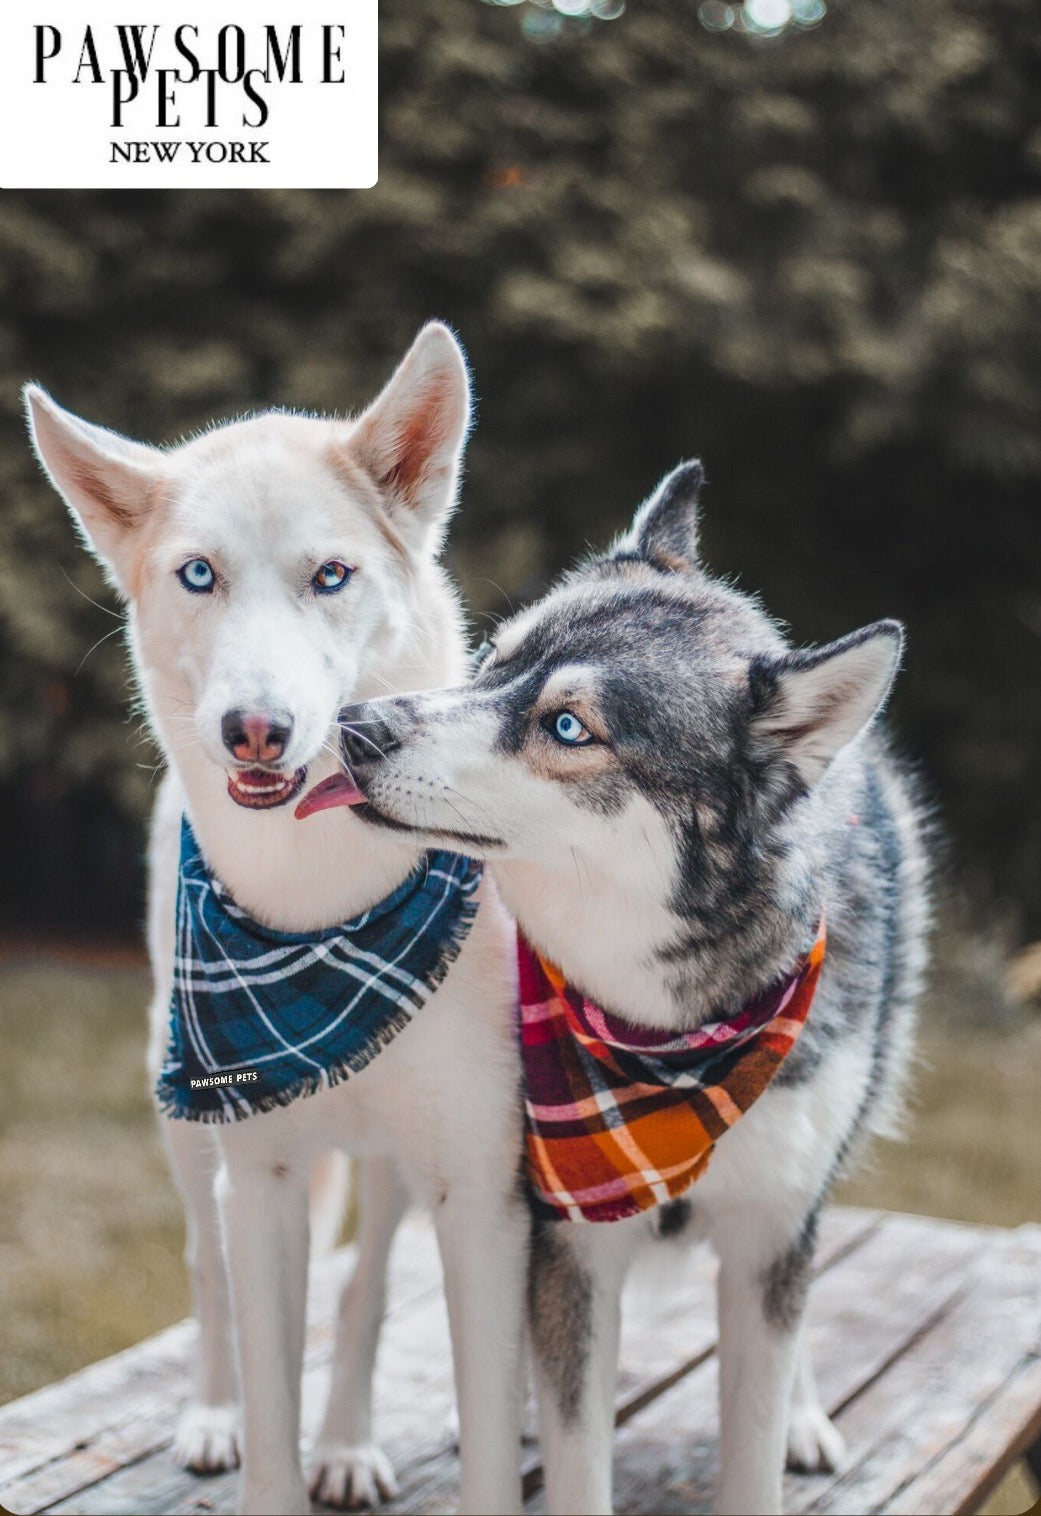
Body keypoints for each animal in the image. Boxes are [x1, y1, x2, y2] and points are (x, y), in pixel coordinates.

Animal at [24, 325, 530, 1509]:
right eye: (198, 573)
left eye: (330, 575)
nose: (255, 729)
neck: (320, 914)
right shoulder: (257, 1176)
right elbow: (263, 1376)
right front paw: (247, 1435)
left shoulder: (475, 1186)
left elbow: (423, 1364)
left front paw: (345, 1445)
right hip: (178, 1113)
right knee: (206, 1274)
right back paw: (210, 1417)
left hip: (393, 1167)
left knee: (365, 1289)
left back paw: (346, 1443)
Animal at [306, 463, 933, 1516]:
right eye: (492, 662)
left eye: (567, 726)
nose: (356, 726)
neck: (669, 1042)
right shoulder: (569, 1241)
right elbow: (575, 1452)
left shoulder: (770, 1229)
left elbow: (754, 1438)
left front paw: (782, 1425)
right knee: (367, 1290)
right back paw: (349, 1443)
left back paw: (806, 1412)